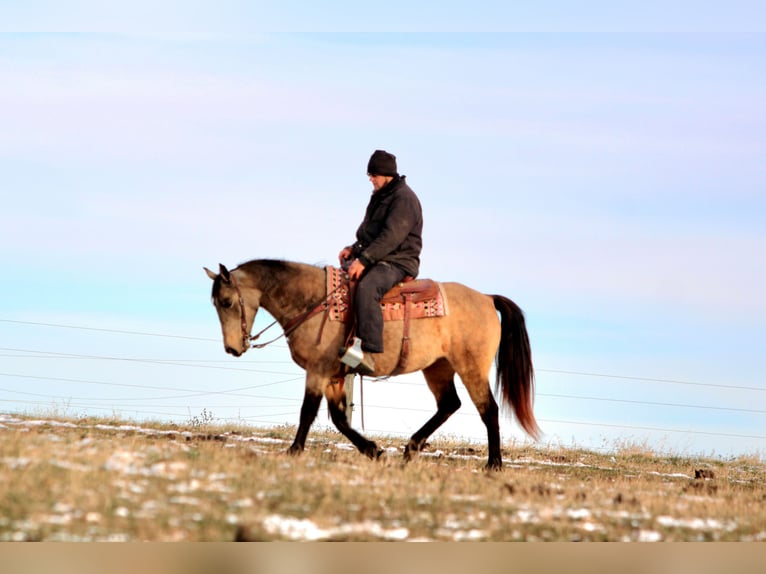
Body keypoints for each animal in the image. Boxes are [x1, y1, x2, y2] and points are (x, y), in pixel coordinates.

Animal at [204, 259, 539, 470]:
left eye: (227, 302)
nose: (233, 348)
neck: (314, 302)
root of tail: (486, 298)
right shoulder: (334, 376)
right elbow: (339, 419)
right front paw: (374, 451)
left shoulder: (318, 370)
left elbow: (308, 412)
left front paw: (294, 451)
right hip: (438, 367)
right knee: (449, 404)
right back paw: (410, 449)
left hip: (471, 368)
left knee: (488, 410)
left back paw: (493, 465)